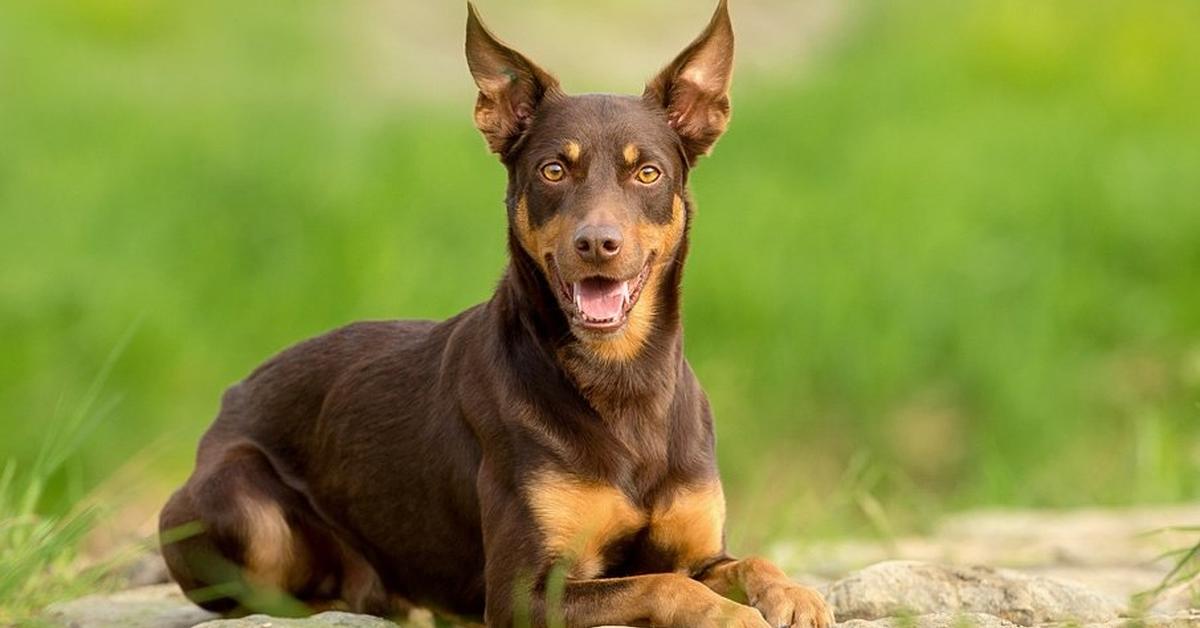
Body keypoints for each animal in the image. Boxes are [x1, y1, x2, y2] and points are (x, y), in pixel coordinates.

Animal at [159, 2, 835, 624]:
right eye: (553, 169)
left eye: (648, 172)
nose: (597, 243)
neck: (621, 380)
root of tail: (226, 403)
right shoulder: (520, 593)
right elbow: (663, 585)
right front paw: (733, 614)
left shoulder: (700, 552)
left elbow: (748, 562)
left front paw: (796, 596)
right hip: (240, 500)